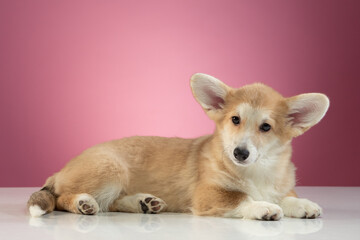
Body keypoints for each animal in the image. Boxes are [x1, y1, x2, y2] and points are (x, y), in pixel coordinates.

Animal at [27, 73, 330, 221]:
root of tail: (59, 172)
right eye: (235, 120)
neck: (257, 171)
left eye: (266, 127)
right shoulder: (208, 195)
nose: (240, 153)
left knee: (110, 204)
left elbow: (285, 197)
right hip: (111, 170)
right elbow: (242, 199)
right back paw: (84, 203)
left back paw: (144, 203)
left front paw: (302, 204)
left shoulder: (278, 185)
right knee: (63, 199)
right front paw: (263, 208)